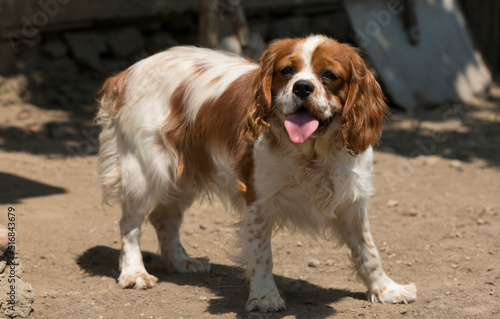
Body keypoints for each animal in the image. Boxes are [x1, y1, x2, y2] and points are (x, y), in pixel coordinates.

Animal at [95, 35, 416, 312]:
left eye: (329, 75)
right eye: (287, 71)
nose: (302, 87)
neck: (313, 152)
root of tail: (127, 72)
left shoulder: (352, 201)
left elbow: (368, 251)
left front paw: (386, 289)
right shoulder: (257, 201)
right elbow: (263, 255)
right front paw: (264, 297)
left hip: (183, 176)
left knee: (165, 219)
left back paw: (181, 262)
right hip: (147, 172)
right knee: (130, 224)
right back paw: (134, 273)